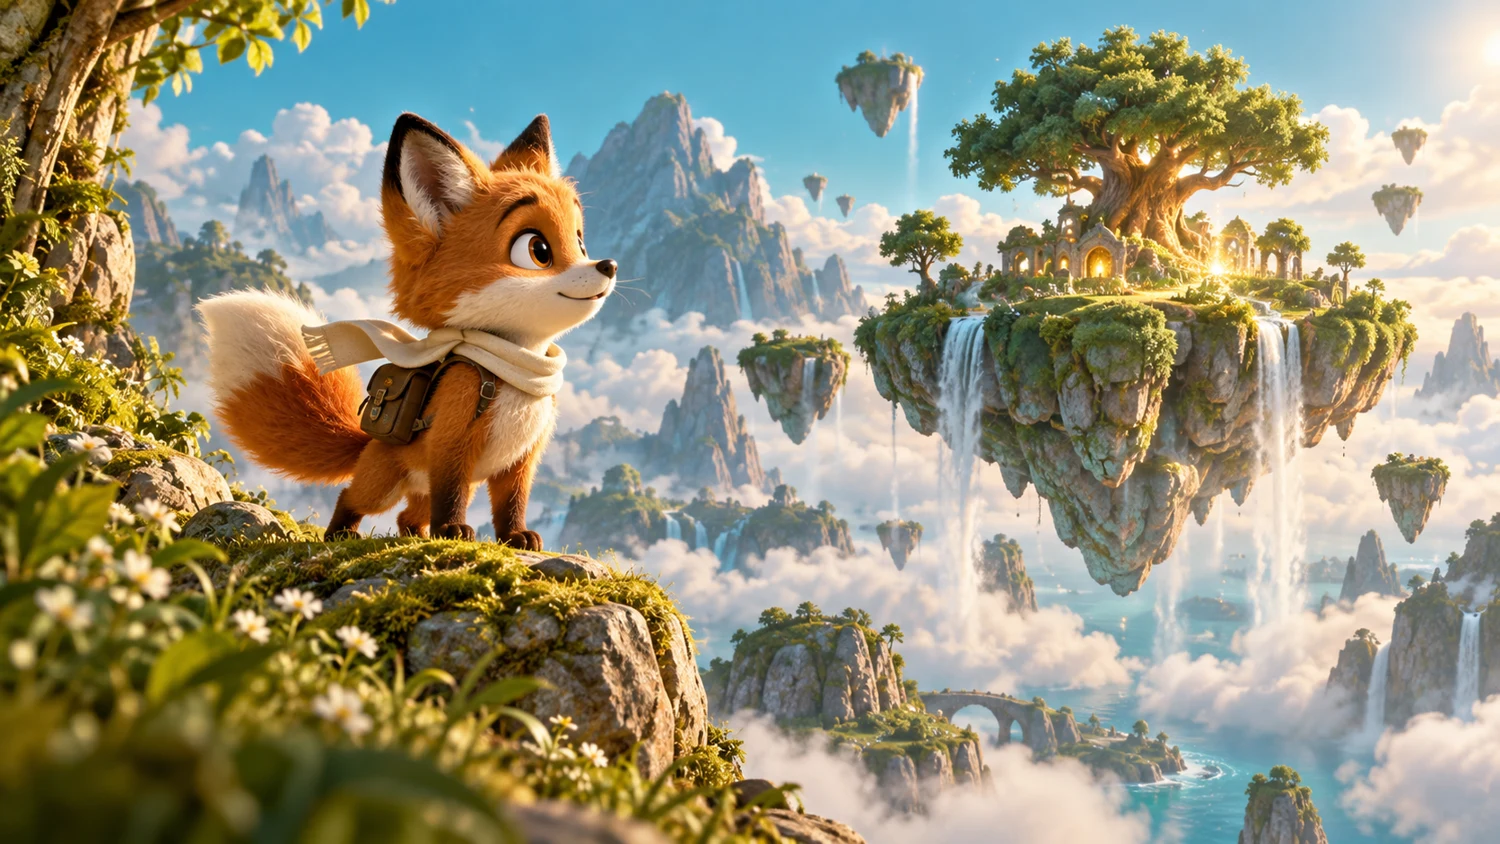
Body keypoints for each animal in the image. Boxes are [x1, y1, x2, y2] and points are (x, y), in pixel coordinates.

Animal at [198, 112, 614, 547]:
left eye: (580, 242)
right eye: (538, 251)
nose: (608, 266)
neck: (516, 372)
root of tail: (369, 442)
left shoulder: (522, 460)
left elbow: (511, 504)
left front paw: (516, 537)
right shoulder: (452, 440)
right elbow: (452, 493)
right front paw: (454, 531)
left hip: (418, 491)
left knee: (406, 517)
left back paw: (417, 535)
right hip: (382, 486)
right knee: (353, 497)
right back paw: (342, 533)